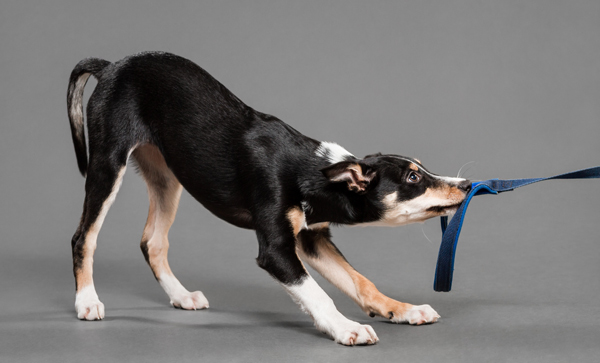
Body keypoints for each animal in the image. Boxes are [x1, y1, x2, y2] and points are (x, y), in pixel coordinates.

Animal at [65, 52, 468, 346]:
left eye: (422, 169)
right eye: (414, 178)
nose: (466, 185)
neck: (312, 171)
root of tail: (112, 66)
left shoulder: (311, 238)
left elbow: (359, 281)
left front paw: (402, 310)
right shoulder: (276, 250)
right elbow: (317, 292)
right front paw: (344, 327)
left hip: (166, 177)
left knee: (153, 241)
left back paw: (181, 296)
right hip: (108, 165)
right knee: (84, 237)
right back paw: (86, 301)